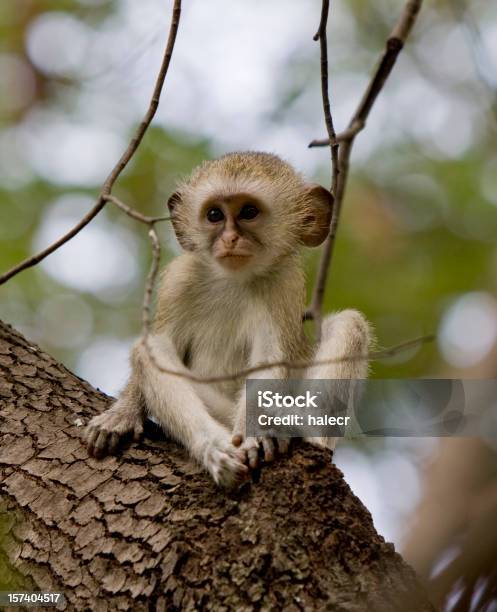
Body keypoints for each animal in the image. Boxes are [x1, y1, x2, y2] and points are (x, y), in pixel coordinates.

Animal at [85, 152, 370, 488]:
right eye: (214, 215)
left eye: (249, 212)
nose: (230, 239)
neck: (232, 280)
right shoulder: (181, 278)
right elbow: (156, 348)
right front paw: (125, 412)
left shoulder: (282, 284)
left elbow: (269, 360)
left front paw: (257, 434)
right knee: (148, 349)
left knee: (350, 324)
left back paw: (307, 431)